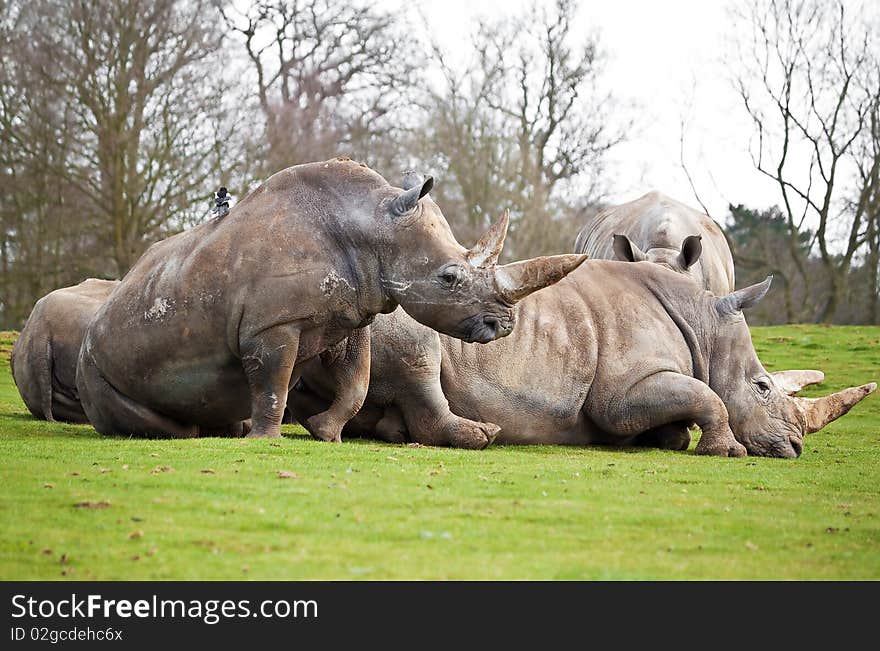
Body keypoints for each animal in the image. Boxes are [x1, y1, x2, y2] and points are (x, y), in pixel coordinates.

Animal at [75, 159, 584, 444]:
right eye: (449, 277)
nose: (504, 326)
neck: (375, 224)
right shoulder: (270, 326)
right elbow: (273, 382)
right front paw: (266, 440)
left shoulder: (351, 315)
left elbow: (356, 382)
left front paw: (325, 433)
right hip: (92, 361)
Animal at [288, 260, 872, 458]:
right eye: (763, 388)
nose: (794, 448)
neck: (706, 325)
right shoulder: (623, 392)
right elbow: (706, 395)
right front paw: (726, 452)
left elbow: (684, 409)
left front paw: (667, 439)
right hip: (401, 310)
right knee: (422, 354)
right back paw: (482, 436)